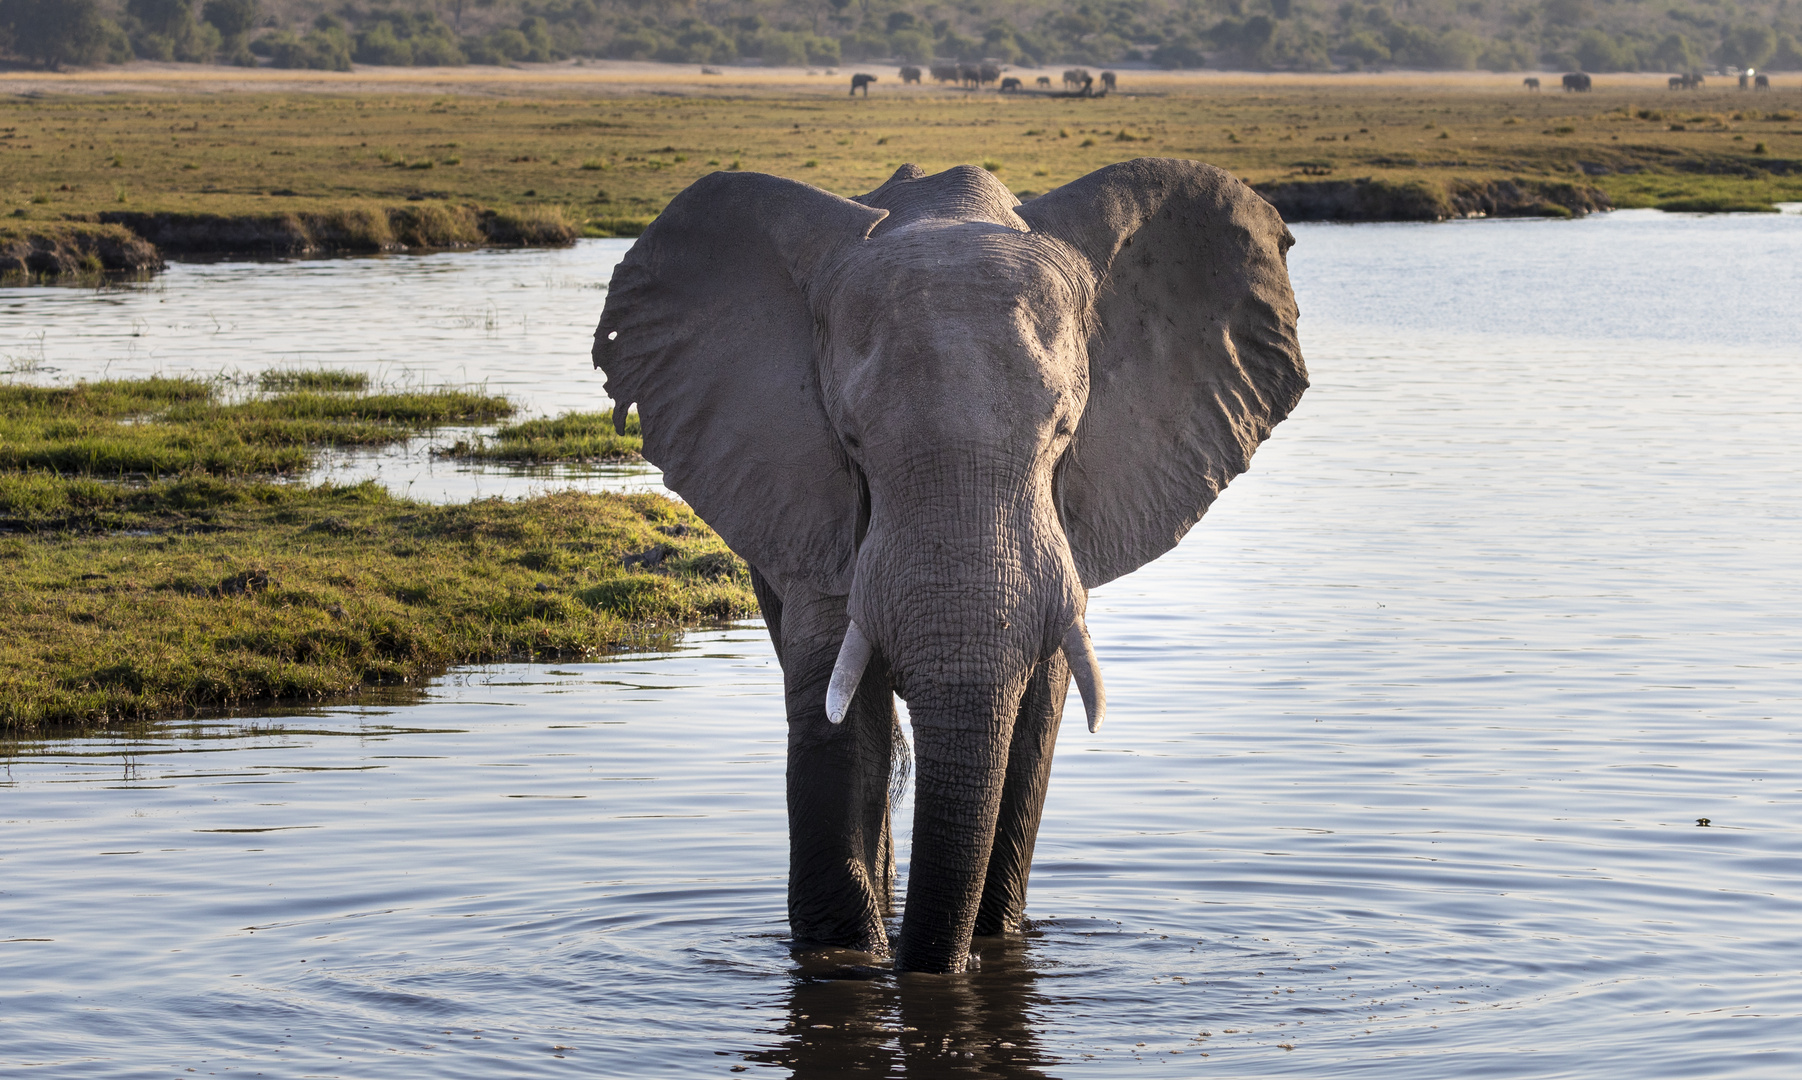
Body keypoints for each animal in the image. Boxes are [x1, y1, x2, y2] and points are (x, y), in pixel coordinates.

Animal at [591, 155, 1311, 973]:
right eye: (851, 440)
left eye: (1064, 434)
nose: (926, 960)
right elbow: (835, 709)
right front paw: (854, 956)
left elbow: (1035, 714)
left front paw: (984, 947)